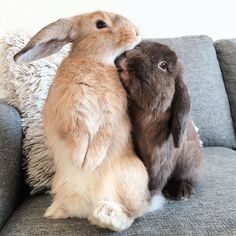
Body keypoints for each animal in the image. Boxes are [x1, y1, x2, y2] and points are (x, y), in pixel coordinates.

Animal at [13, 10, 163, 230]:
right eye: (100, 24)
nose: (136, 33)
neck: (94, 61)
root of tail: (87, 206)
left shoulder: (111, 115)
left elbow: (102, 137)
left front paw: (89, 163)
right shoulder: (68, 115)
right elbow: (77, 135)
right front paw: (79, 160)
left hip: (126, 181)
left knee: (130, 215)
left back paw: (107, 214)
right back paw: (56, 212)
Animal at [115, 41, 202, 200]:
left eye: (163, 65)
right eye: (139, 46)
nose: (127, 54)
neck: (143, 111)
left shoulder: (160, 158)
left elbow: (155, 179)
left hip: (189, 166)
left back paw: (181, 191)